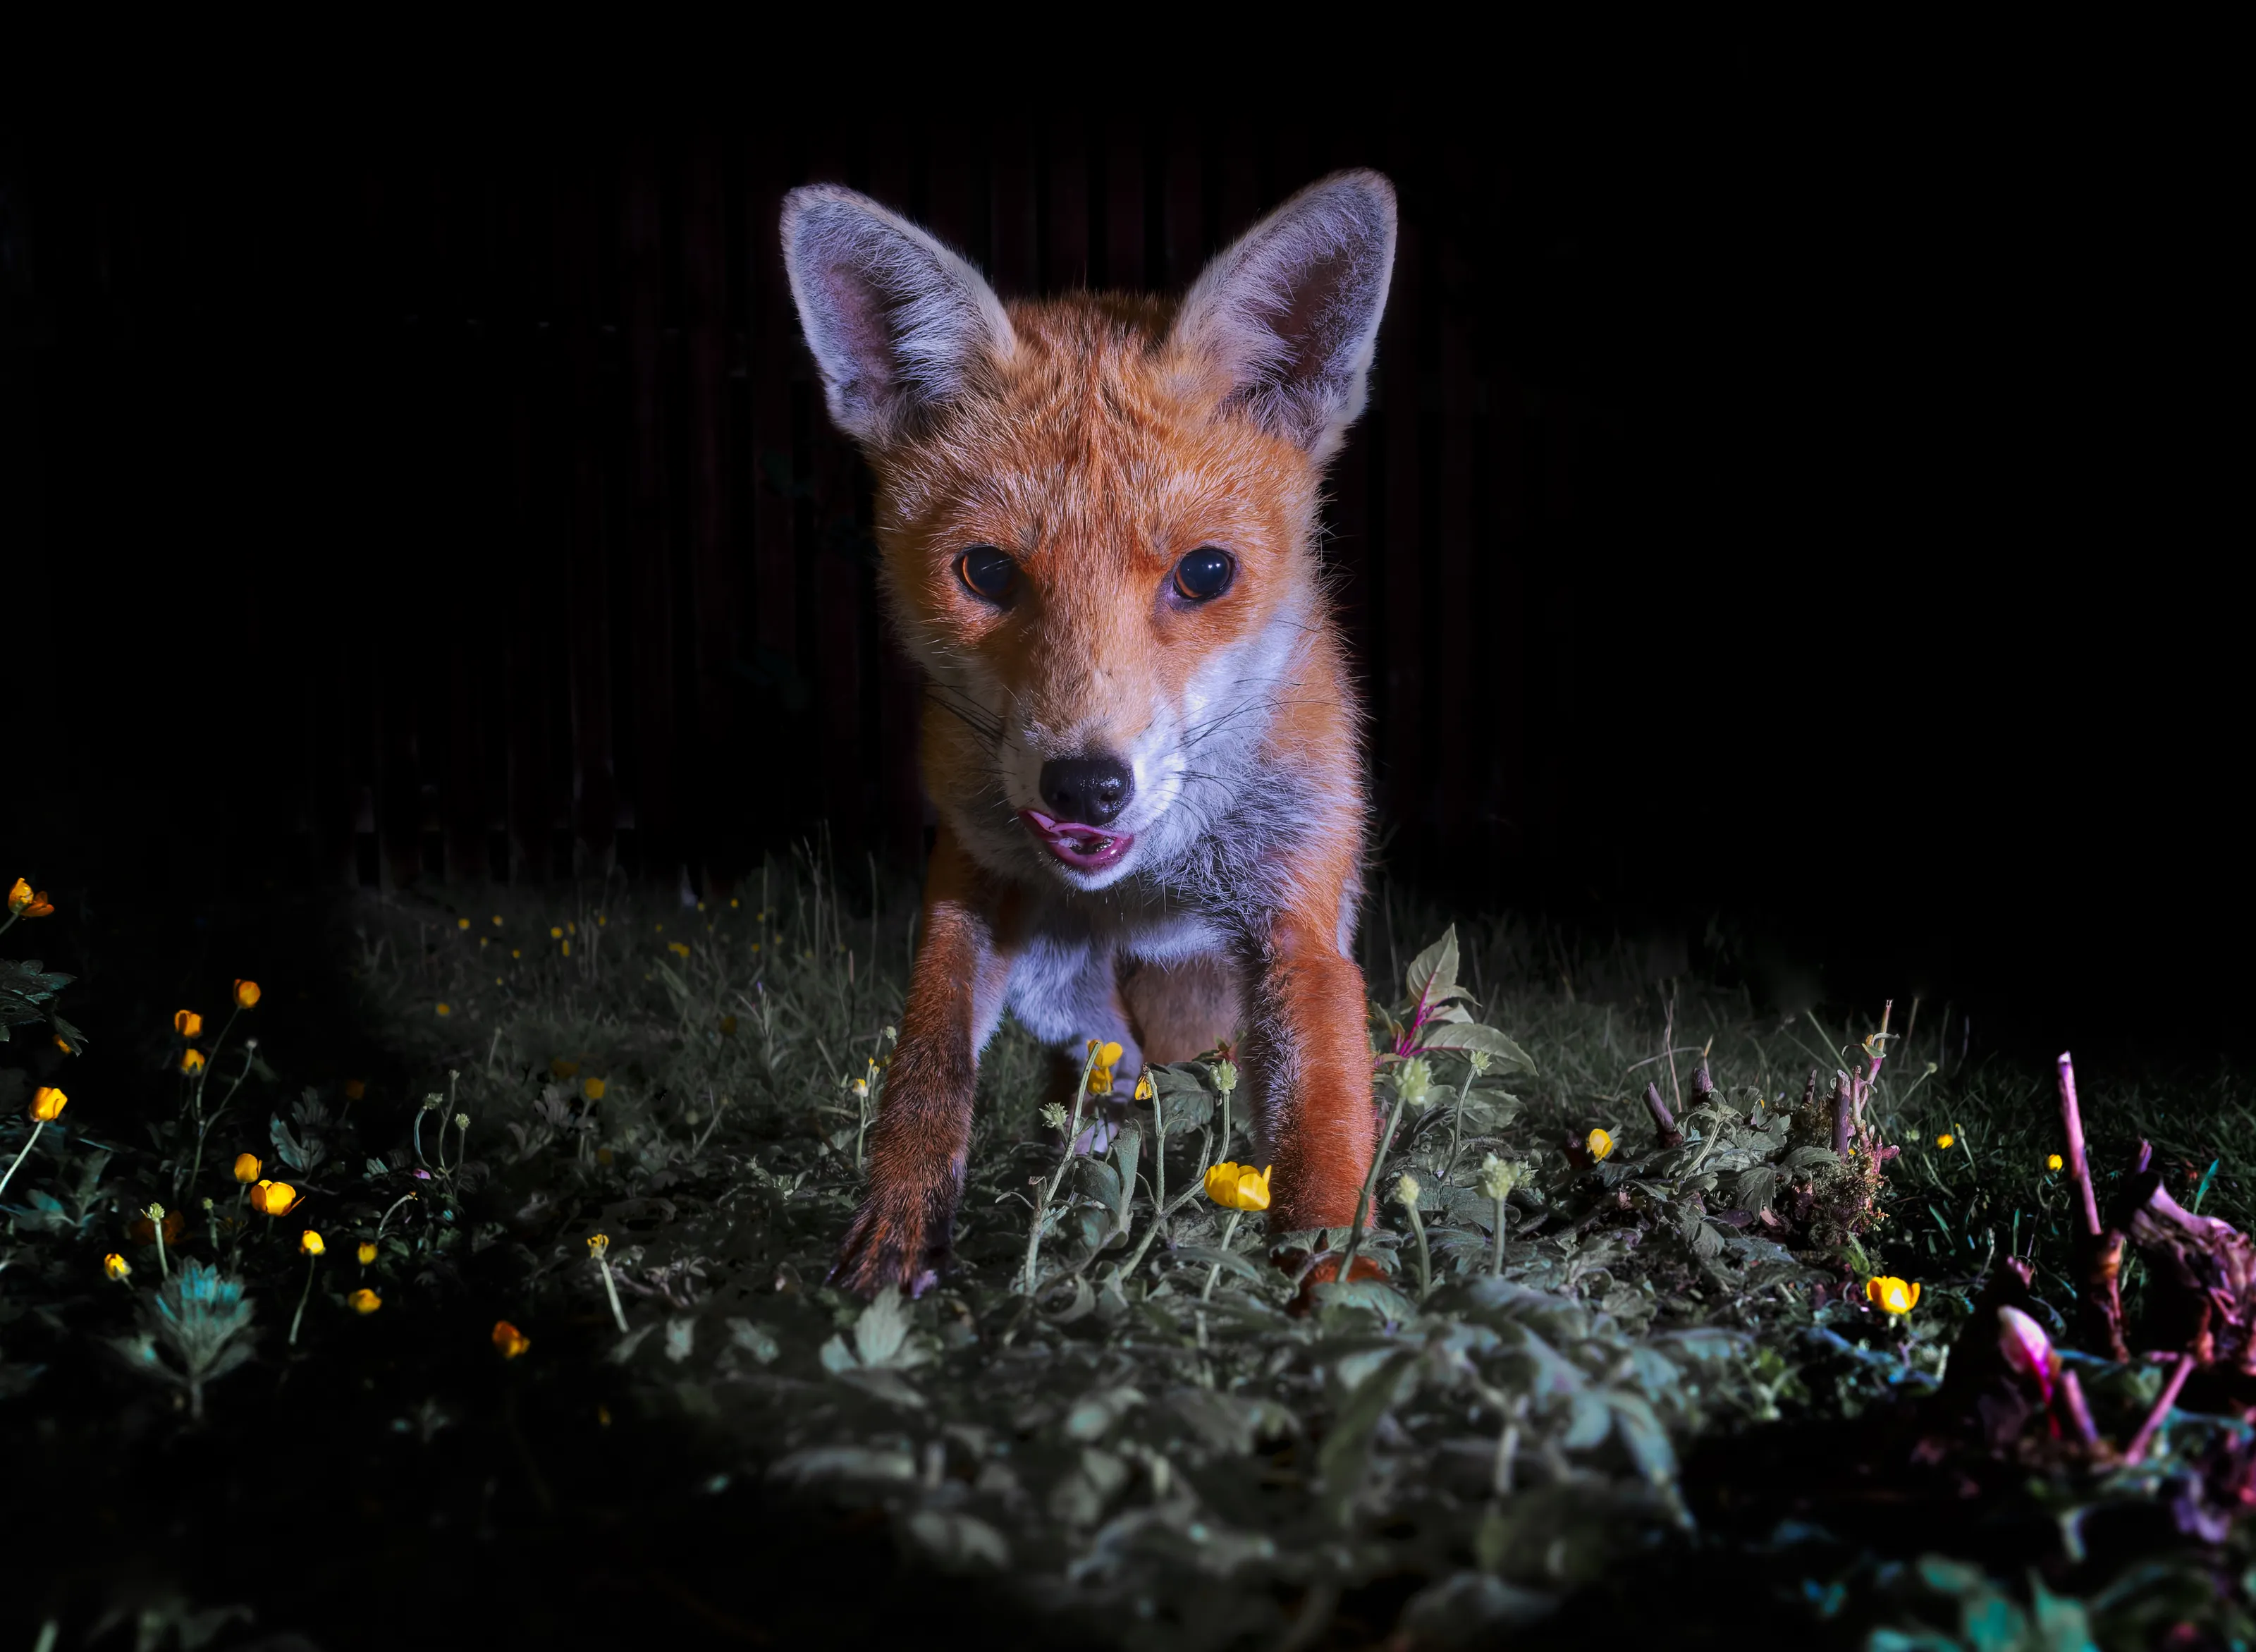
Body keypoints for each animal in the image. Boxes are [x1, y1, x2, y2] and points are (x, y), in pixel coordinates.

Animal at [779, 169, 1398, 1297]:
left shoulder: (1296, 920)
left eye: (1205, 573)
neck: (1152, 876)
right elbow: (929, 1055)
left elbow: (1325, 1140)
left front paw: (1336, 1297)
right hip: (1065, 991)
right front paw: (901, 1221)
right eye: (986, 573)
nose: (1084, 785)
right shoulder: (970, 870)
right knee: (1109, 1077)